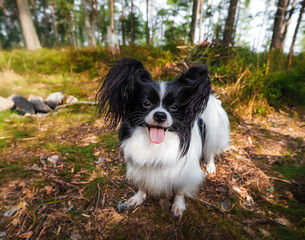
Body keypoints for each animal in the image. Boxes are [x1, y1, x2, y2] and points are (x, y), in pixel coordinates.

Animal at [97, 58, 228, 218]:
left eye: (174, 107)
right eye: (146, 103)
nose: (160, 115)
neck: (155, 144)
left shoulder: (185, 172)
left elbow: (180, 190)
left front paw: (178, 205)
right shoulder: (142, 166)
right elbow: (142, 183)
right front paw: (138, 198)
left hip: (214, 133)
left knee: (210, 151)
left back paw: (210, 166)